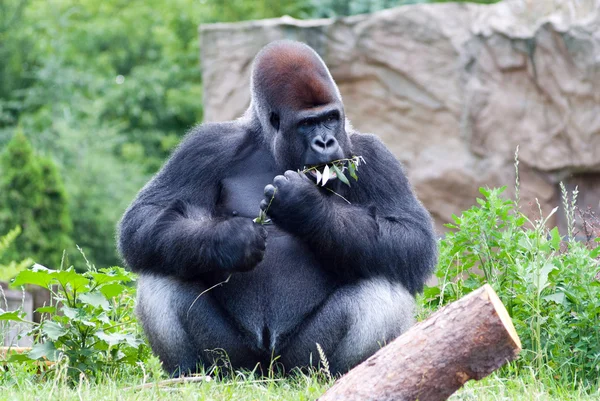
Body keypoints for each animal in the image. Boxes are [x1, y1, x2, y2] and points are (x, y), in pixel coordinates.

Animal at [117, 40, 436, 376]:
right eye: (307, 124)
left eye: (330, 118)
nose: (326, 142)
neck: (270, 145)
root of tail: (268, 371)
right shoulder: (205, 146)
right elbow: (145, 216)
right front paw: (230, 240)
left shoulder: (374, 154)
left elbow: (411, 237)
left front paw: (305, 206)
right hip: (237, 361)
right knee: (163, 269)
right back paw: (192, 372)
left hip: (301, 361)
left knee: (382, 279)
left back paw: (351, 372)